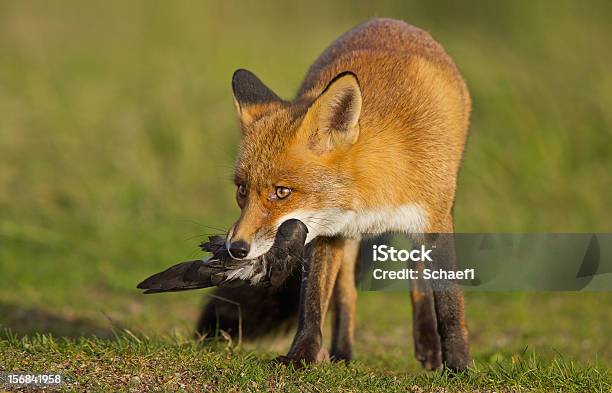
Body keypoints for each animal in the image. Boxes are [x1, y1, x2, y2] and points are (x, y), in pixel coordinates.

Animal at [203, 16, 470, 370]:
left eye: (282, 192)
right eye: (242, 191)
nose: (236, 249)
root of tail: (389, 20)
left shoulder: (434, 222)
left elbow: (450, 305)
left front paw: (459, 366)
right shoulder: (324, 231)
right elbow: (313, 301)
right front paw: (301, 355)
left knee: (418, 276)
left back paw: (428, 343)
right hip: (346, 240)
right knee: (345, 293)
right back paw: (343, 352)